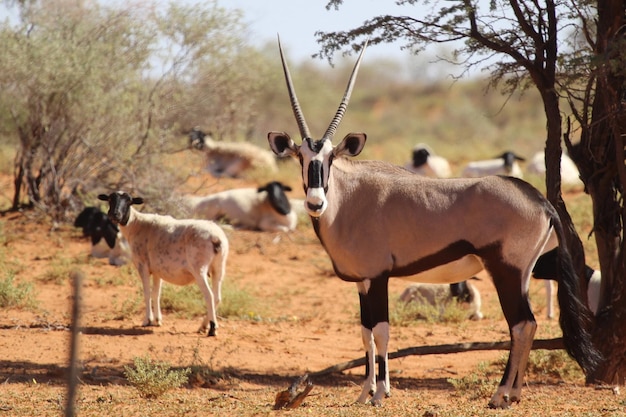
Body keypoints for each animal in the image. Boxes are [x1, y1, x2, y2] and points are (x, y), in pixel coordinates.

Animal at [95, 190, 227, 336]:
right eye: (110, 199)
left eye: (129, 201)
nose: (114, 215)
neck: (136, 224)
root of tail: (216, 238)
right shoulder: (158, 269)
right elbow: (156, 293)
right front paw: (157, 320)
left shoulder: (142, 265)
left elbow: (147, 292)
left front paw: (147, 320)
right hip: (218, 267)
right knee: (217, 297)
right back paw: (203, 326)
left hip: (199, 268)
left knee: (209, 296)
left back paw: (212, 329)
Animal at [266, 37, 596, 408]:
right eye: (301, 157)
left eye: (331, 159)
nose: (315, 202)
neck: (349, 200)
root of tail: (541, 201)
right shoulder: (363, 282)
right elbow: (365, 333)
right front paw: (365, 393)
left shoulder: (378, 277)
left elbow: (381, 331)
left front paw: (380, 394)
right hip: (521, 274)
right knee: (528, 325)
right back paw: (513, 394)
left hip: (506, 271)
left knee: (522, 324)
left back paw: (501, 395)